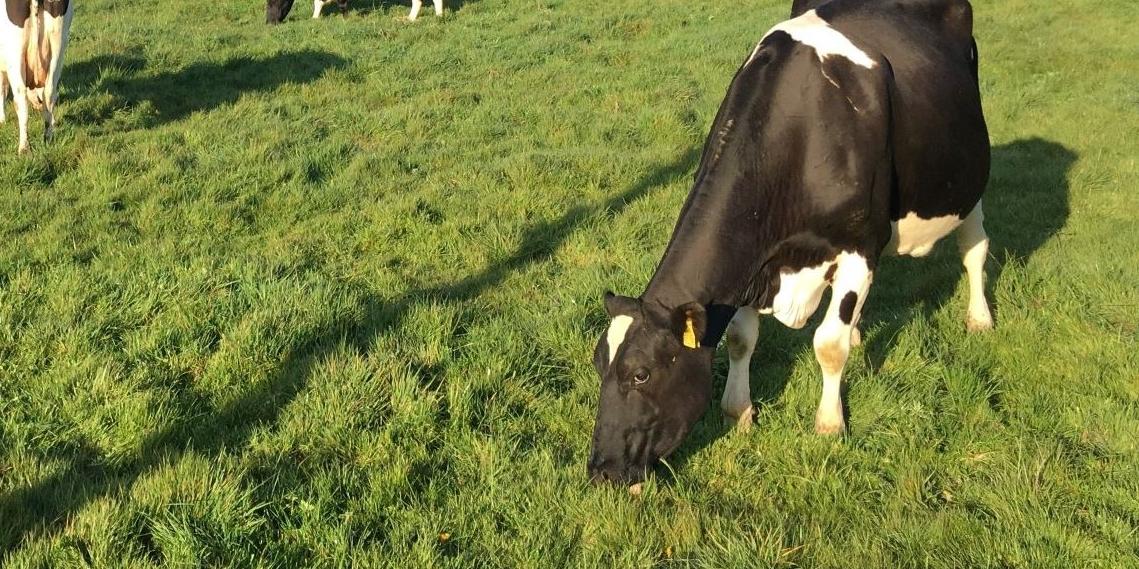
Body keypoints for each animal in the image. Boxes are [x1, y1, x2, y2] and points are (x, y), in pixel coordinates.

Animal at [1, 0, 73, 154]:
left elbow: (2, 90)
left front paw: (1, 120)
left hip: (15, 52)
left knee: (20, 99)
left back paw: (24, 148)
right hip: (58, 46)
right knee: (50, 93)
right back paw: (48, 136)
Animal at [588, 0, 993, 486]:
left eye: (641, 374)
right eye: (598, 364)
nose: (601, 469)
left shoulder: (858, 245)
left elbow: (828, 345)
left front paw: (830, 424)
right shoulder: (755, 263)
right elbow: (741, 338)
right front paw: (738, 410)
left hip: (967, 181)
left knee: (974, 249)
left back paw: (980, 318)